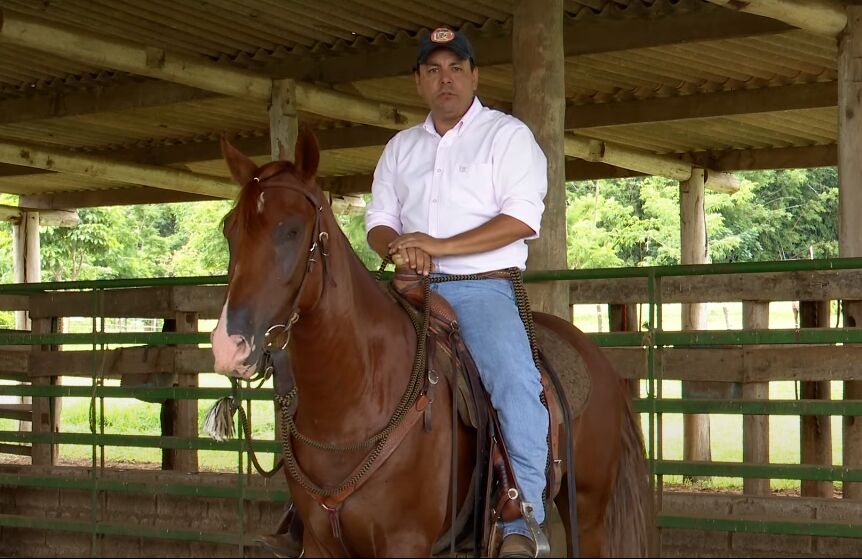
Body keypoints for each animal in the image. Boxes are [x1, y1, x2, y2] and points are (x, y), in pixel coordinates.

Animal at [211, 129, 656, 556]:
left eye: (291, 229)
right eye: (230, 229)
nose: (229, 346)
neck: (356, 397)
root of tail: (592, 352)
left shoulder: (405, 542)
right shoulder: (322, 544)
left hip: (589, 511)